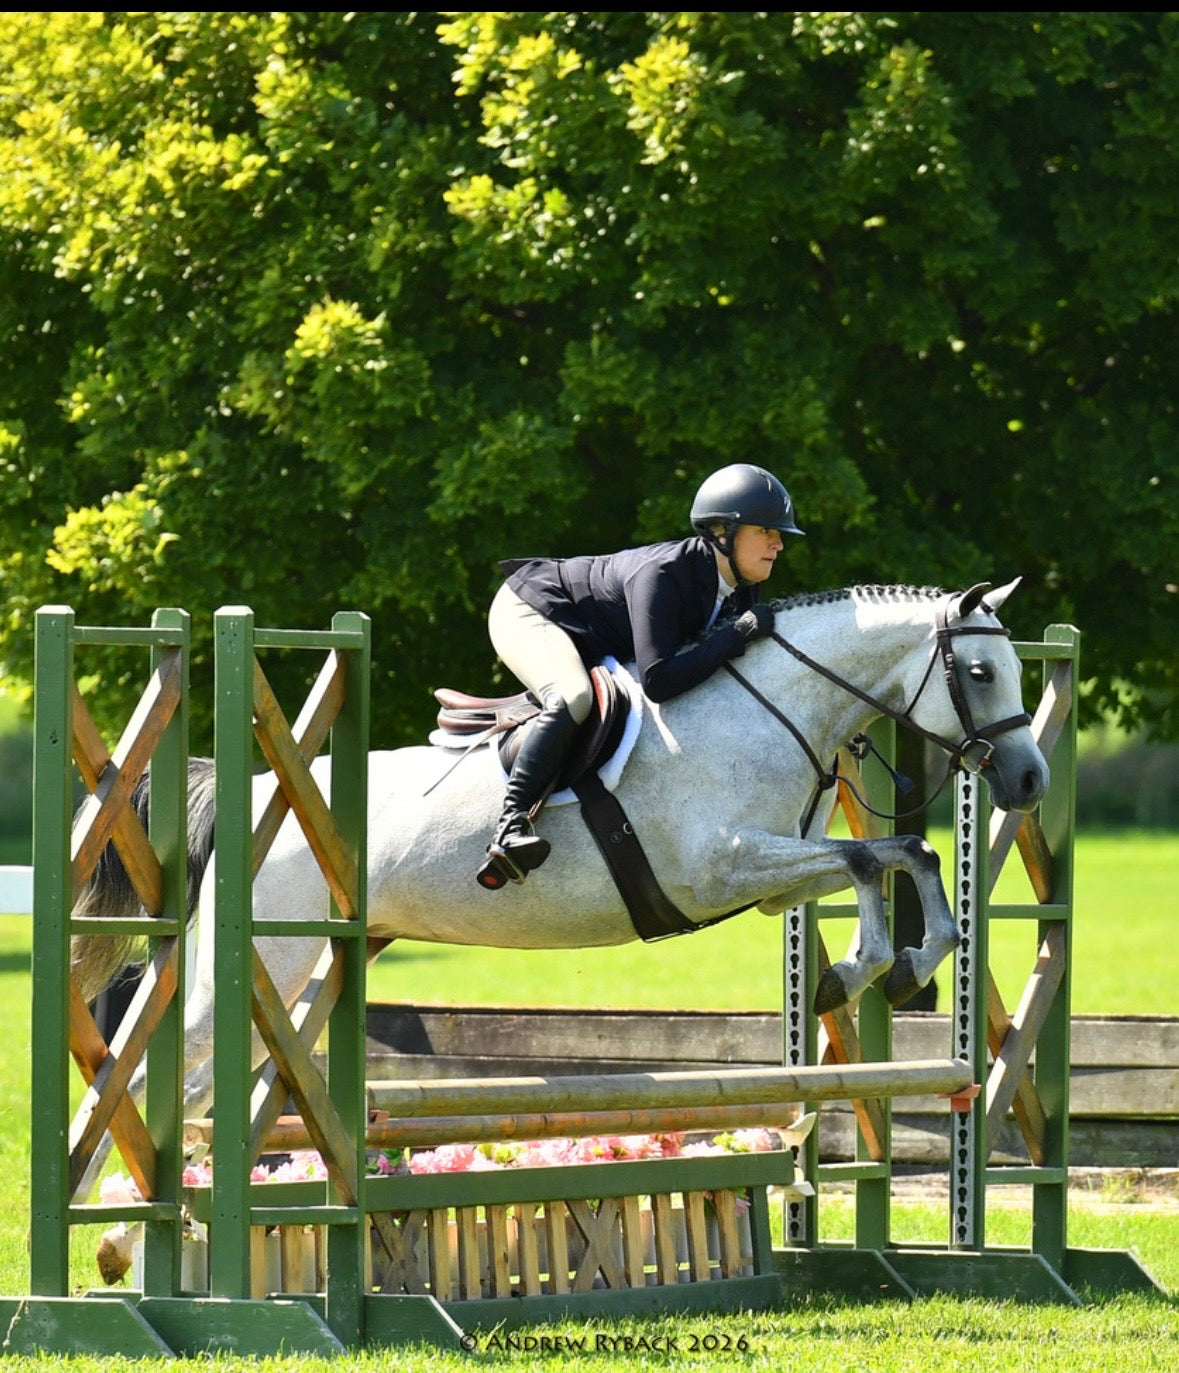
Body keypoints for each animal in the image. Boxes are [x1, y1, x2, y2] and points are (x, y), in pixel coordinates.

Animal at [73, 578, 1048, 1240]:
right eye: (975, 670)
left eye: (1011, 670)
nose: (1030, 780)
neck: (765, 707)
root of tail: (255, 793)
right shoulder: (717, 866)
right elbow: (863, 855)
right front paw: (875, 967)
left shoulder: (767, 883)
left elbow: (900, 854)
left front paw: (882, 968)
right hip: (250, 967)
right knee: (150, 1075)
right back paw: (104, 1248)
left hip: (309, 973)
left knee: (207, 1090)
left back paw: (140, 1236)